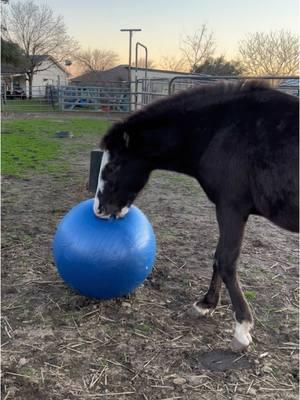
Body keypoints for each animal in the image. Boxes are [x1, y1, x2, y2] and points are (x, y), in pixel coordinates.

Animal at [93, 80, 298, 350]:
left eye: (113, 166)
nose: (99, 209)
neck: (221, 129)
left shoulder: (231, 209)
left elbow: (226, 260)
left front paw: (242, 328)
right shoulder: (227, 210)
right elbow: (218, 258)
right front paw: (206, 304)